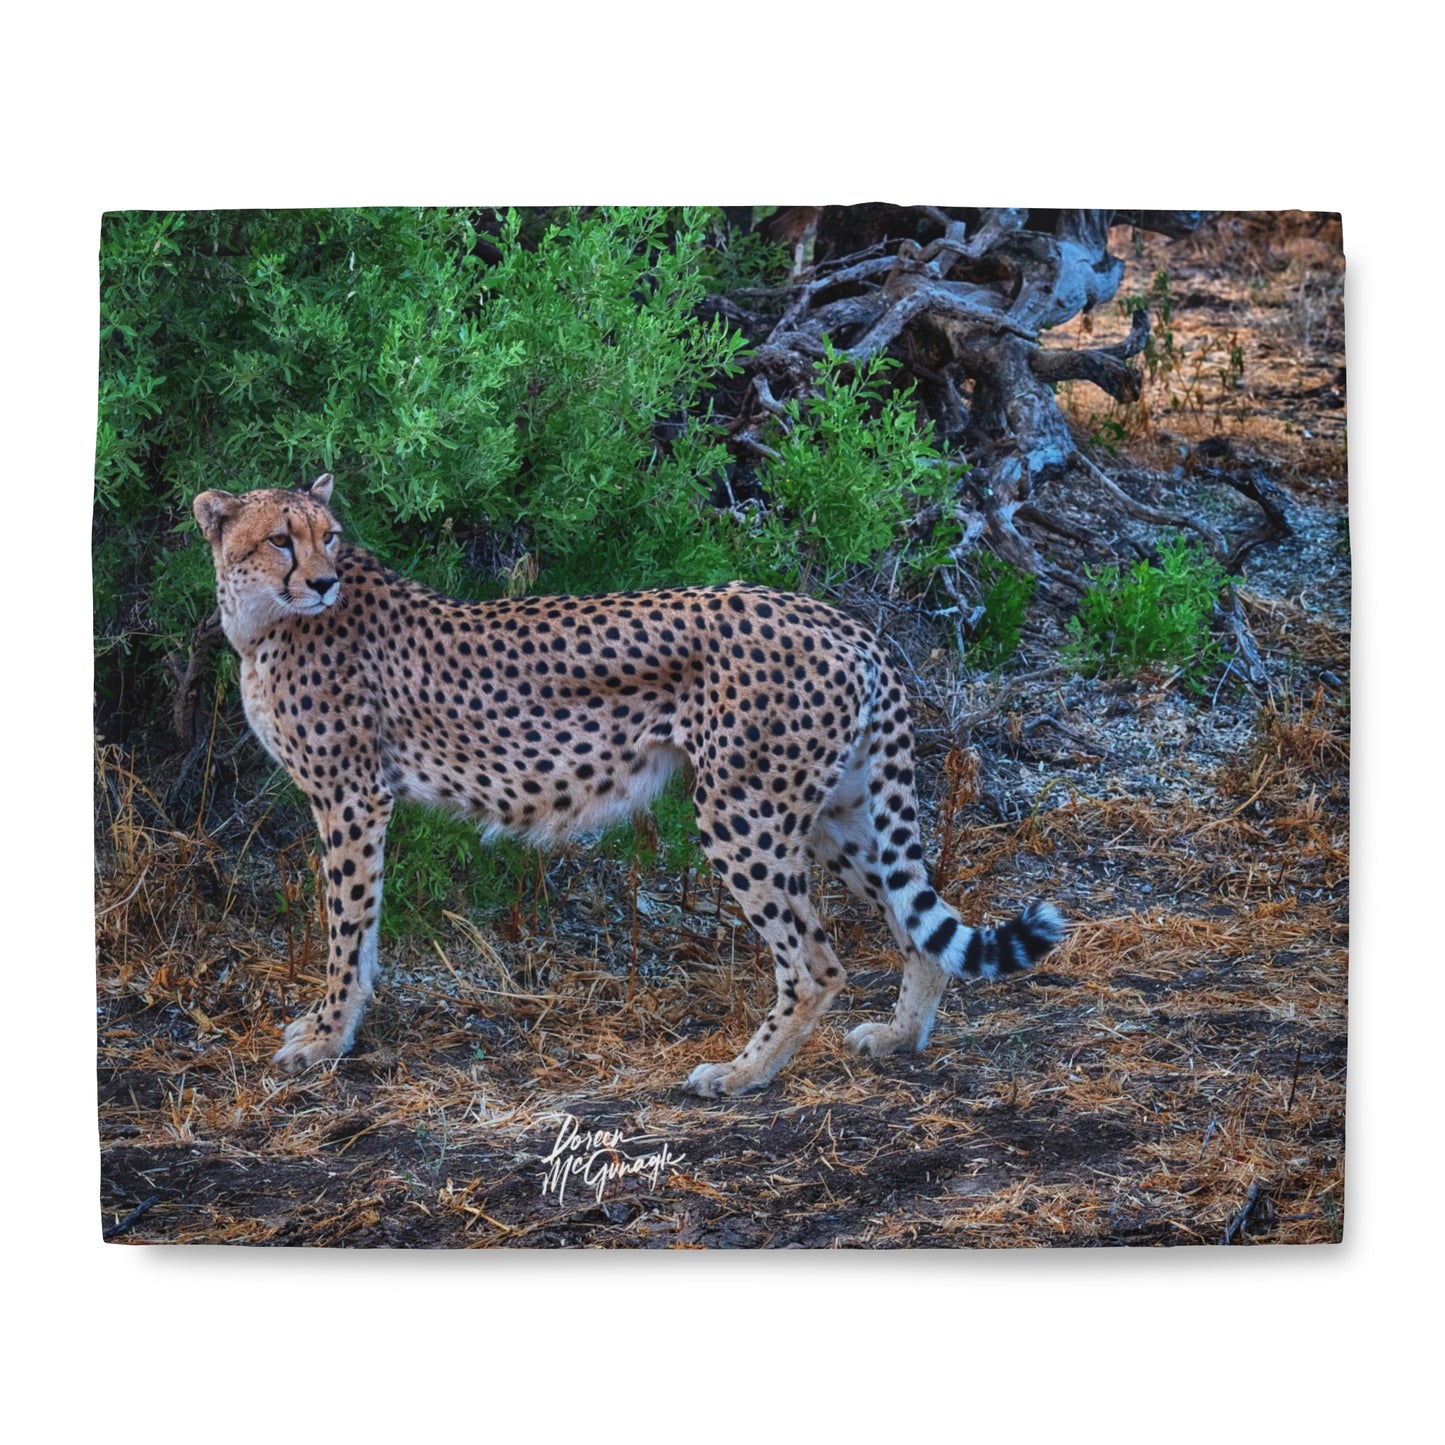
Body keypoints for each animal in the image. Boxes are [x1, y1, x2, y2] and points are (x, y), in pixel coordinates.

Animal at [194, 474, 1065, 1097]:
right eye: (281, 539)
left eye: (329, 536)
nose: (323, 581)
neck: (263, 620)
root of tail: (838, 619)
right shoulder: (357, 799)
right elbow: (363, 926)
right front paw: (337, 1025)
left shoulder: (350, 796)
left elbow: (346, 925)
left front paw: (327, 1036)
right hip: (834, 810)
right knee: (915, 921)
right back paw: (898, 1036)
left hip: (741, 810)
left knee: (816, 961)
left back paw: (741, 1073)